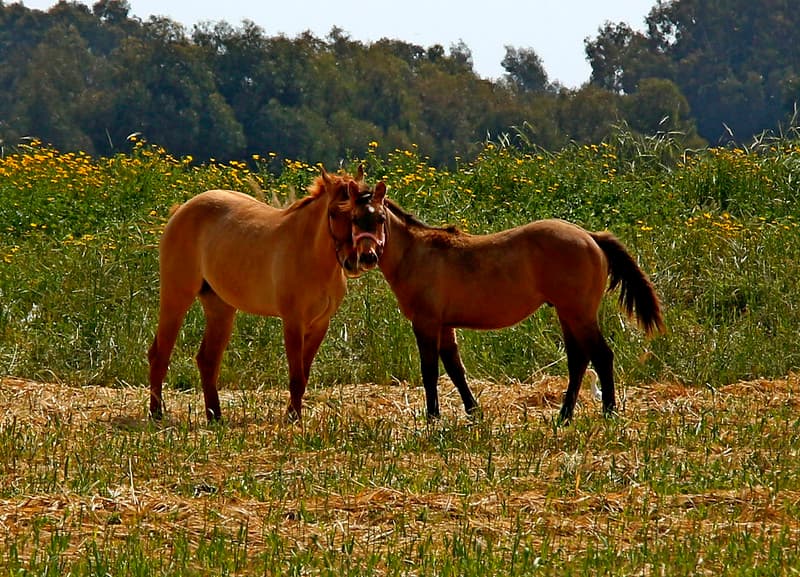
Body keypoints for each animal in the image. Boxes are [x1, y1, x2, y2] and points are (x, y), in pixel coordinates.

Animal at [148, 166, 370, 423]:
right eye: (333, 212)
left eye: (365, 213)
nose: (353, 261)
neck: (311, 255)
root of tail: (181, 210)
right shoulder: (293, 322)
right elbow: (296, 376)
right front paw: (293, 418)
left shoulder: (320, 324)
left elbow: (304, 374)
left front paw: (294, 415)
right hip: (176, 297)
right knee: (159, 354)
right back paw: (156, 413)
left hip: (220, 307)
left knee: (207, 360)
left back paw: (215, 417)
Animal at [343, 181, 664, 423]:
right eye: (355, 219)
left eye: (380, 218)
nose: (367, 257)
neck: (417, 253)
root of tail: (590, 236)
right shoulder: (445, 325)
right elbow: (455, 368)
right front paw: (473, 411)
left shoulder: (426, 322)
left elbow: (430, 370)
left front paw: (433, 417)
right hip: (568, 314)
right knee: (578, 360)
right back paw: (564, 415)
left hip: (578, 313)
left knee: (601, 355)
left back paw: (608, 412)